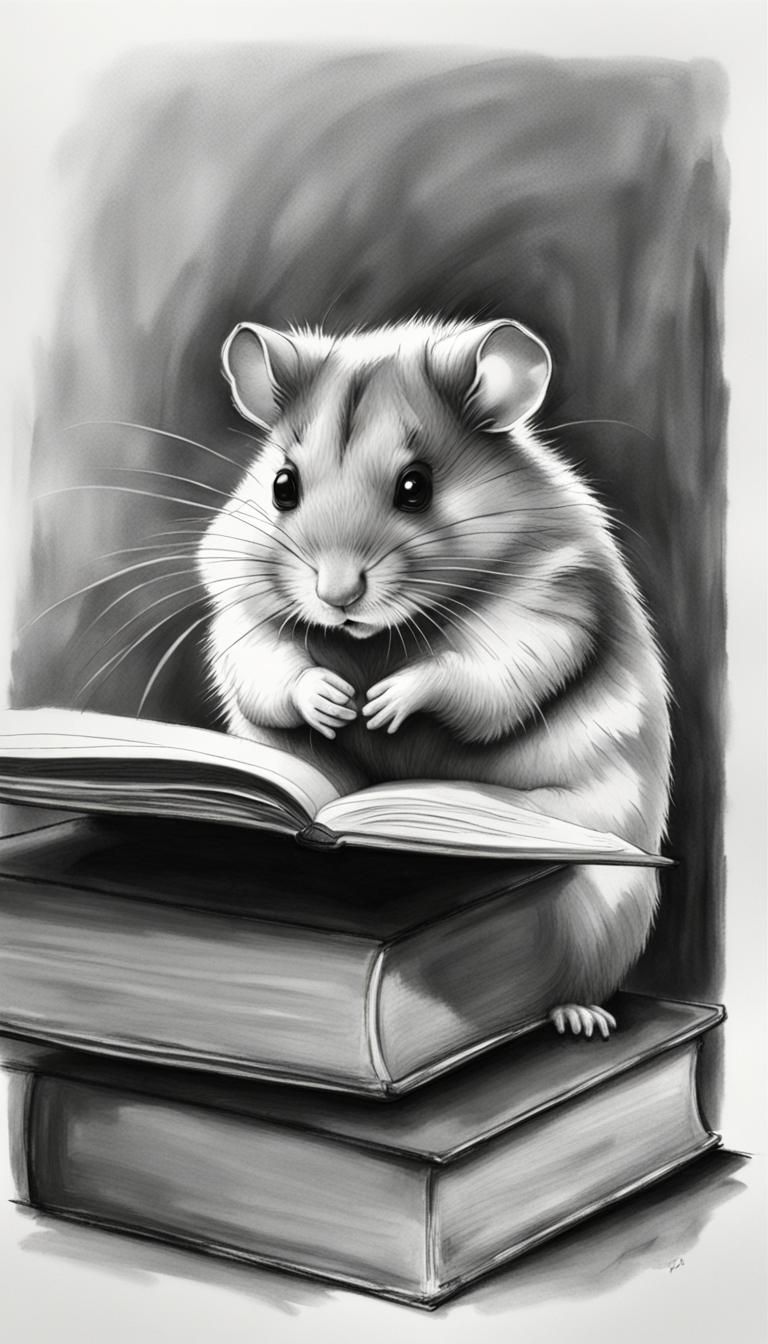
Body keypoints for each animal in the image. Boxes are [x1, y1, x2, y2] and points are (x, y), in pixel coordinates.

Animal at [198, 317, 671, 1038]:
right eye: (282, 485)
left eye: (415, 487)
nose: (337, 595)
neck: (373, 642)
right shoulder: (240, 614)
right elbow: (273, 668)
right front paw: (336, 703)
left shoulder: (550, 609)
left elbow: (468, 673)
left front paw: (383, 705)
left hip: (613, 896)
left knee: (577, 973)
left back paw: (580, 1019)